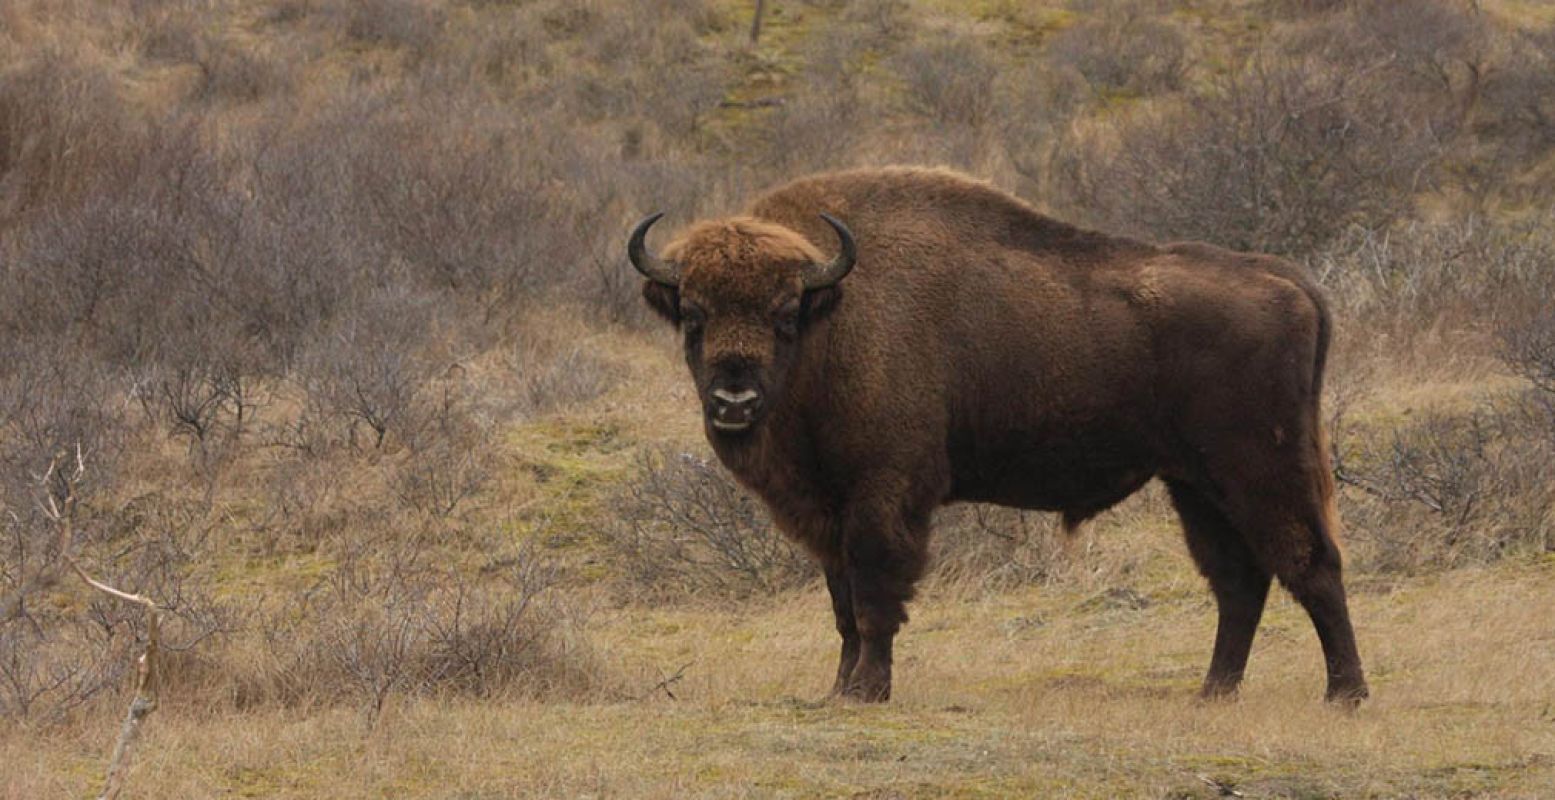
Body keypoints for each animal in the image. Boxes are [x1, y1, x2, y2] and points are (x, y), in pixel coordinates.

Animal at [625, 164, 1368, 700]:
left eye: (783, 315)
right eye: (693, 314)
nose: (734, 396)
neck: (831, 315)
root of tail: (1287, 279)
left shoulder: (883, 497)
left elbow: (875, 597)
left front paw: (867, 691)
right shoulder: (828, 509)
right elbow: (842, 605)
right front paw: (837, 690)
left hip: (1261, 469)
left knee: (1311, 563)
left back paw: (1345, 694)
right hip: (1195, 484)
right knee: (1240, 581)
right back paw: (1213, 692)